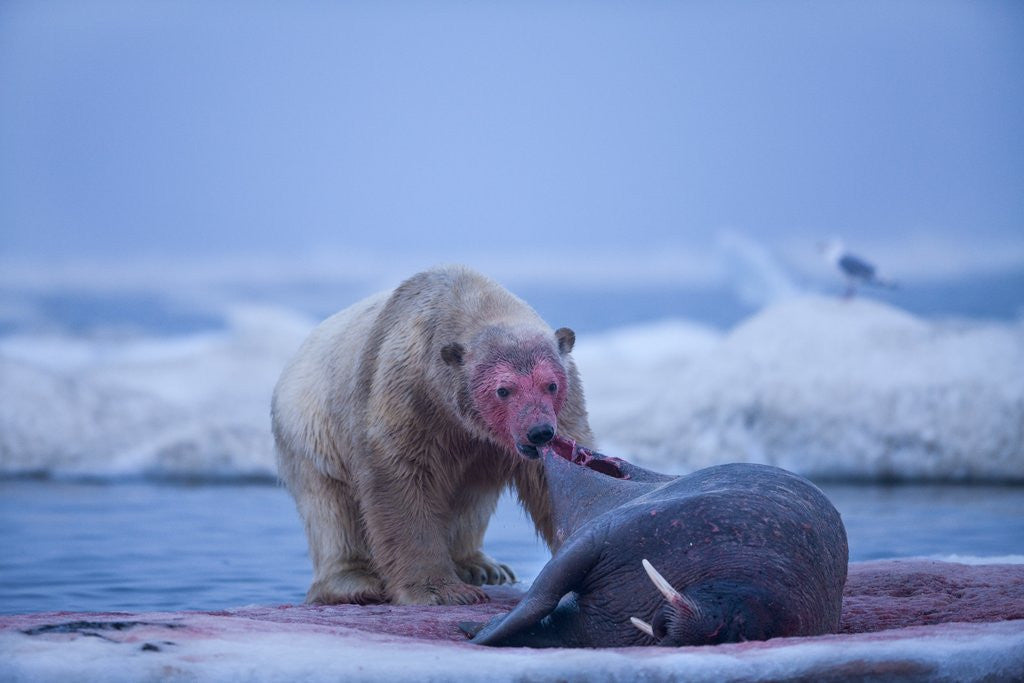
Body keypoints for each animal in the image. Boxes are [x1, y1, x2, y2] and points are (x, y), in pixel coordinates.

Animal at [271, 265, 594, 606]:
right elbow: (400, 481)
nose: (539, 432)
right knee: (330, 510)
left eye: (551, 384)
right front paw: (443, 592)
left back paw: (483, 567)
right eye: (503, 389)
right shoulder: (409, 394)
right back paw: (354, 582)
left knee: (472, 498)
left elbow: (555, 481)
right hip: (311, 433)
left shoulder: (564, 406)